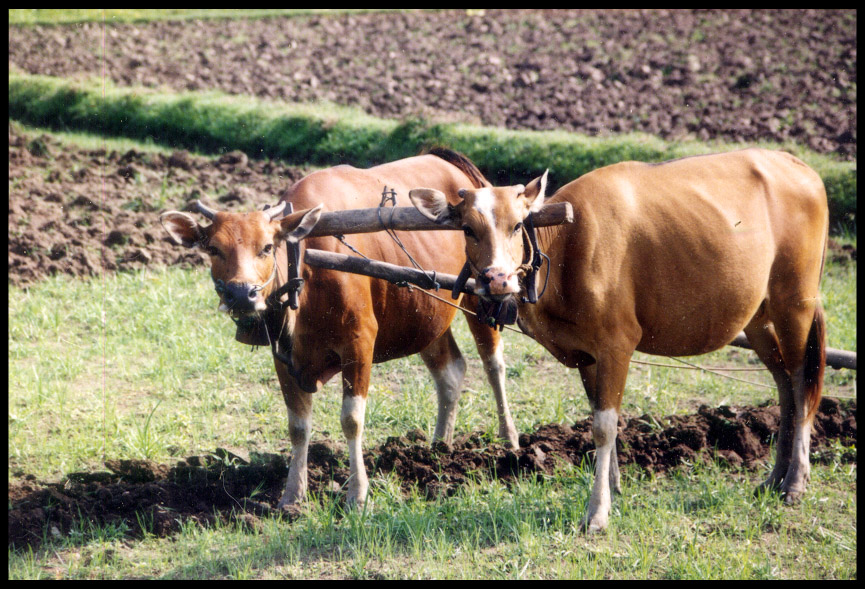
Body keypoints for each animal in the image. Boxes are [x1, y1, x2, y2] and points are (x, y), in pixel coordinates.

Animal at [159, 148, 516, 510]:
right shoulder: (283, 356)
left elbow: (351, 420)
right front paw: (293, 494)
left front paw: (357, 494)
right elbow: (298, 425)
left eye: (267, 247)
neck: (305, 268)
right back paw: (439, 449)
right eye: (213, 249)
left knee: (493, 365)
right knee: (451, 372)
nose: (241, 293)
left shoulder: (359, 344)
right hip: (426, 316)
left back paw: (509, 440)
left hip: (481, 295)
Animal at [412, 148, 832, 532]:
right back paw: (774, 477)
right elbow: (600, 417)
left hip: (795, 303)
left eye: (517, 225)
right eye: (468, 229)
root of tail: (797, 165)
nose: (497, 279)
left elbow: (603, 427)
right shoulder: (588, 354)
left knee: (801, 383)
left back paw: (795, 481)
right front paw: (613, 487)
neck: (567, 246)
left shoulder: (617, 344)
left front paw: (597, 511)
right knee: (783, 385)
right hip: (758, 318)